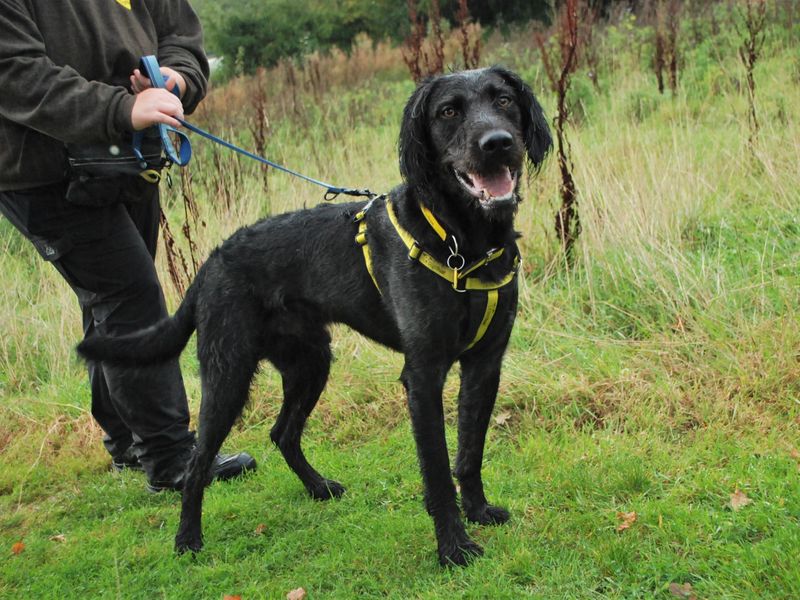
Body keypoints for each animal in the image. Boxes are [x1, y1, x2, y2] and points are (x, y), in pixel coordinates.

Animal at [78, 67, 552, 568]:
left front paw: (478, 511)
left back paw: (318, 487)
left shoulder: (484, 365)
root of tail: (211, 262)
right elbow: (438, 470)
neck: (465, 240)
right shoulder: (423, 375)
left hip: (309, 364)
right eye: (448, 111)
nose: (497, 143)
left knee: (283, 433)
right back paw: (187, 539)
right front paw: (453, 547)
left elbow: (470, 452)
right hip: (228, 376)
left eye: (504, 100)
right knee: (198, 464)